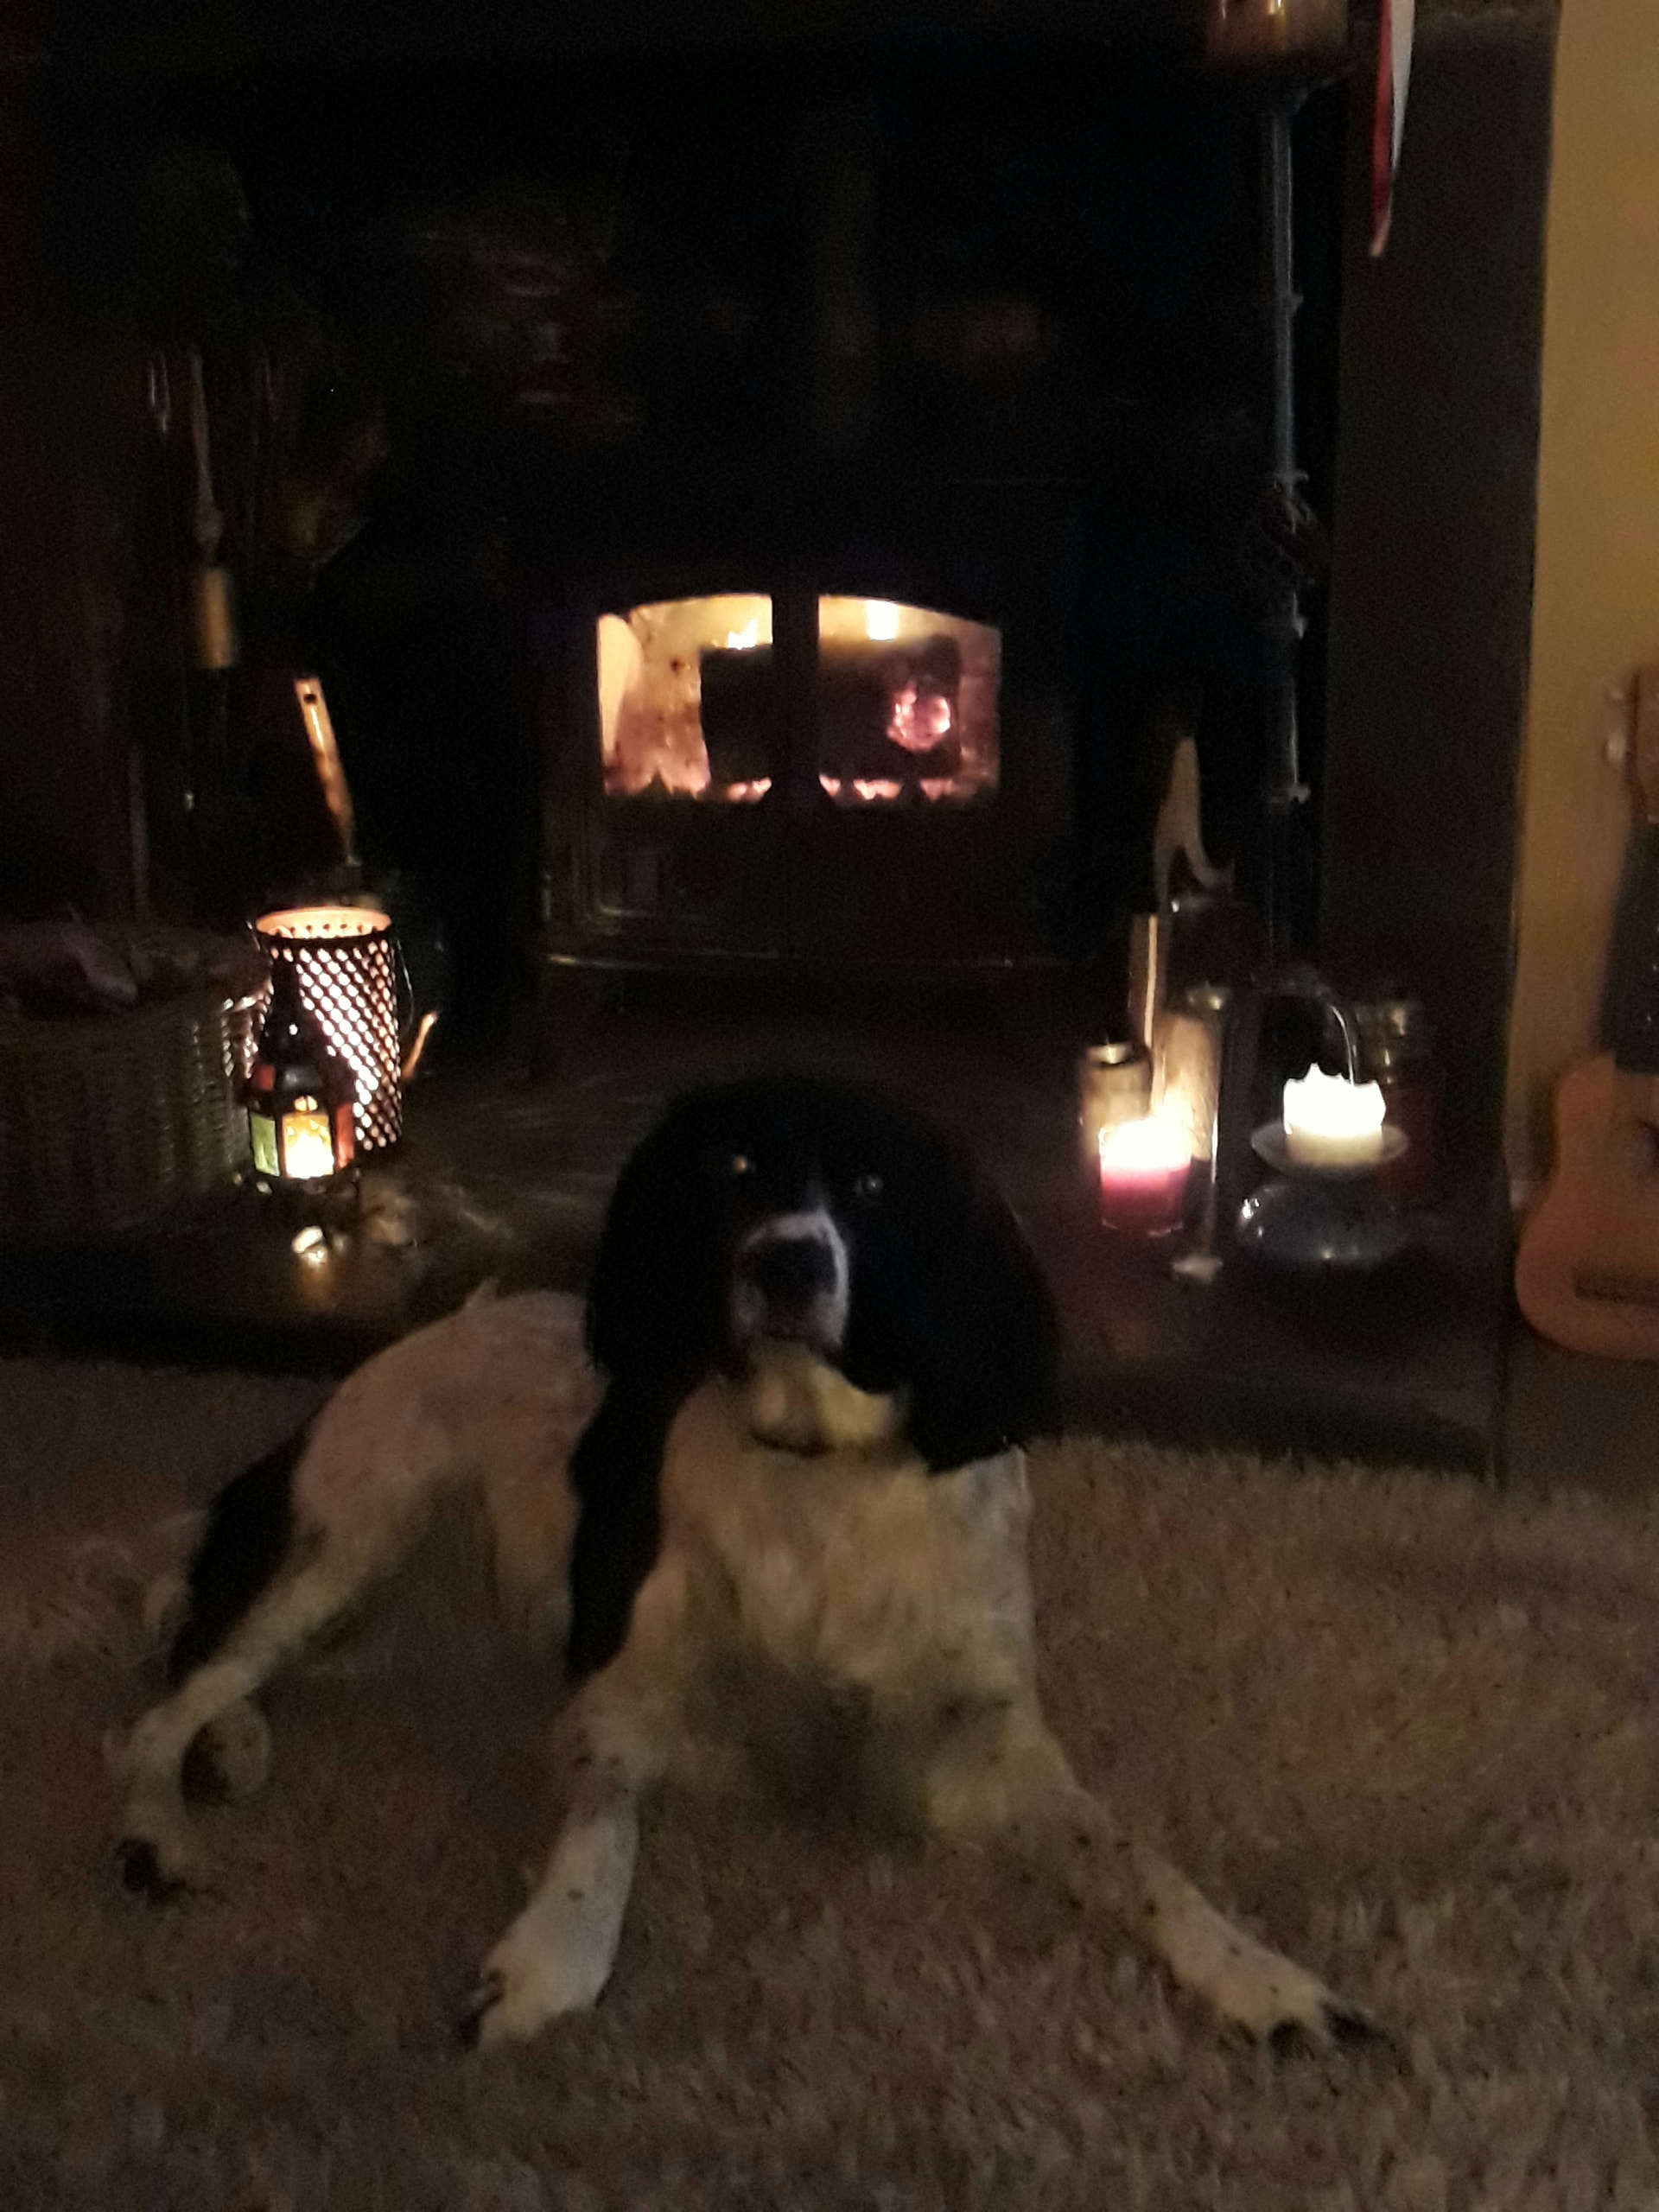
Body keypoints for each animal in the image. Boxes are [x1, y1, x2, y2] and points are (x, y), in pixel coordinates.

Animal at [116, 1073, 1375, 2052]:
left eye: (874, 1188)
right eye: (734, 1169)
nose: (786, 1266)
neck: (820, 1472)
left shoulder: (985, 1739)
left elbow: (1132, 1856)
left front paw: (1259, 1975)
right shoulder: (622, 1696)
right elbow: (604, 1831)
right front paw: (548, 1957)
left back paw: (235, 1743)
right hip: (366, 1532)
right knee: (170, 1686)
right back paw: (160, 1825)